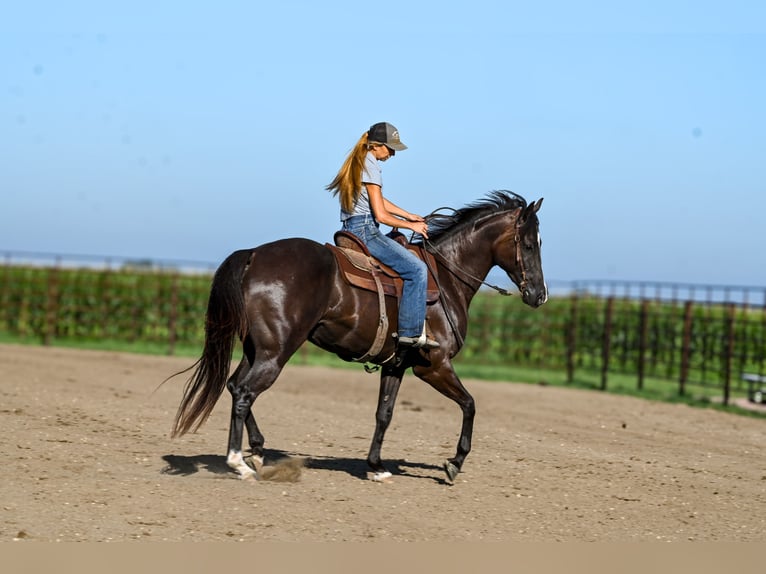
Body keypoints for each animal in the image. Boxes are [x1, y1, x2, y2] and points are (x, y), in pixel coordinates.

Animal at [171, 191, 547, 484]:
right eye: (529, 244)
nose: (539, 296)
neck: (445, 279)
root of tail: (252, 254)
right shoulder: (433, 365)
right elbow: (469, 404)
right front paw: (454, 463)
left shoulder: (396, 365)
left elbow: (385, 413)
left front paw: (376, 466)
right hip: (276, 352)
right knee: (245, 393)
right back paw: (239, 463)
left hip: (257, 349)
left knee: (235, 386)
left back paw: (259, 451)